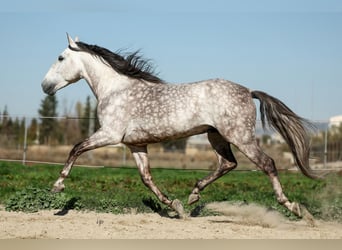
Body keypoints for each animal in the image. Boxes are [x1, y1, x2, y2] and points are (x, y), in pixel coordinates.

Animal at [41, 34, 320, 219]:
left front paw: (57, 186)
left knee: (267, 164)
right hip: (216, 136)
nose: (45, 86)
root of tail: (248, 91)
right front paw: (174, 206)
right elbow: (147, 178)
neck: (117, 89)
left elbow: (76, 148)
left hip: (240, 136)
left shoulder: (110, 134)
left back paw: (295, 208)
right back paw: (194, 194)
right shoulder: (135, 145)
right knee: (228, 163)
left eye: (60, 57)